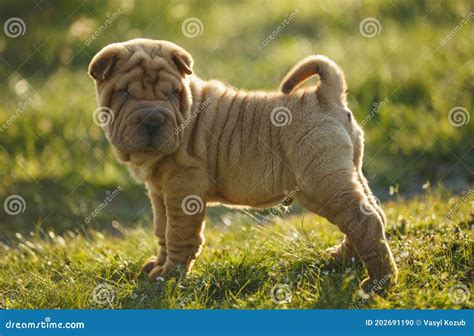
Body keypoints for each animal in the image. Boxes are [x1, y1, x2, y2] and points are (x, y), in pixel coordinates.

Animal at [88, 38, 396, 288]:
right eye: (124, 93)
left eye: (172, 94)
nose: (152, 119)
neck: (186, 112)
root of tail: (324, 95)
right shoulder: (158, 192)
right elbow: (161, 230)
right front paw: (158, 265)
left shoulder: (183, 189)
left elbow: (178, 234)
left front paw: (169, 276)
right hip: (347, 173)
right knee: (371, 212)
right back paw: (342, 259)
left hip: (322, 182)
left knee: (363, 219)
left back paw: (379, 281)